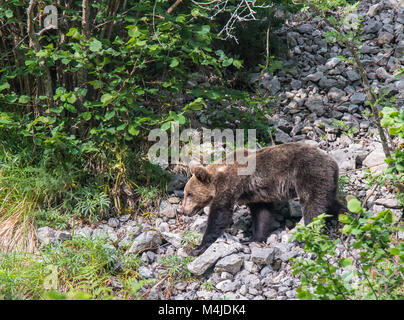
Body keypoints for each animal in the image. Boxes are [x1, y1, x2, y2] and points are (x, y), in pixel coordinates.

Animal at [181, 141, 342, 256]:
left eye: (189, 194)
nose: (183, 210)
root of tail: (333, 162)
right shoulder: (256, 195)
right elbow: (262, 215)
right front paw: (253, 238)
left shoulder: (230, 186)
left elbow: (220, 214)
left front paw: (198, 248)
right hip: (327, 182)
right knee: (332, 202)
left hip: (309, 173)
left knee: (313, 207)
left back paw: (305, 239)